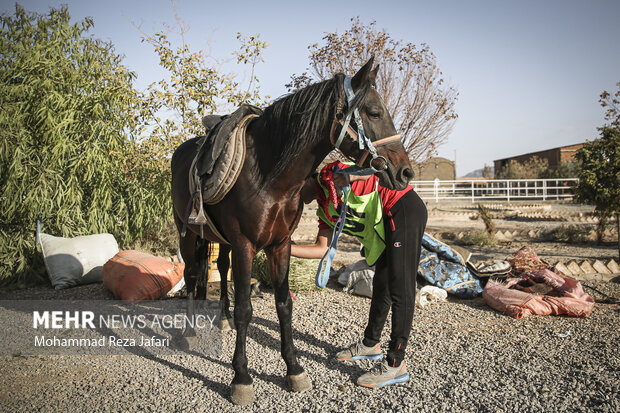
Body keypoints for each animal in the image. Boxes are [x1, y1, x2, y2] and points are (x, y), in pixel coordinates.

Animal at [167, 56, 414, 404]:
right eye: (375, 112)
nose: (405, 172)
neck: (268, 174)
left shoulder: (280, 244)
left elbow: (284, 305)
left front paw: (294, 369)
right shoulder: (245, 245)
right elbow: (246, 309)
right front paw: (241, 377)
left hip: (221, 239)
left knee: (221, 268)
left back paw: (223, 319)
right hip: (187, 233)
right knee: (190, 274)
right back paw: (189, 331)